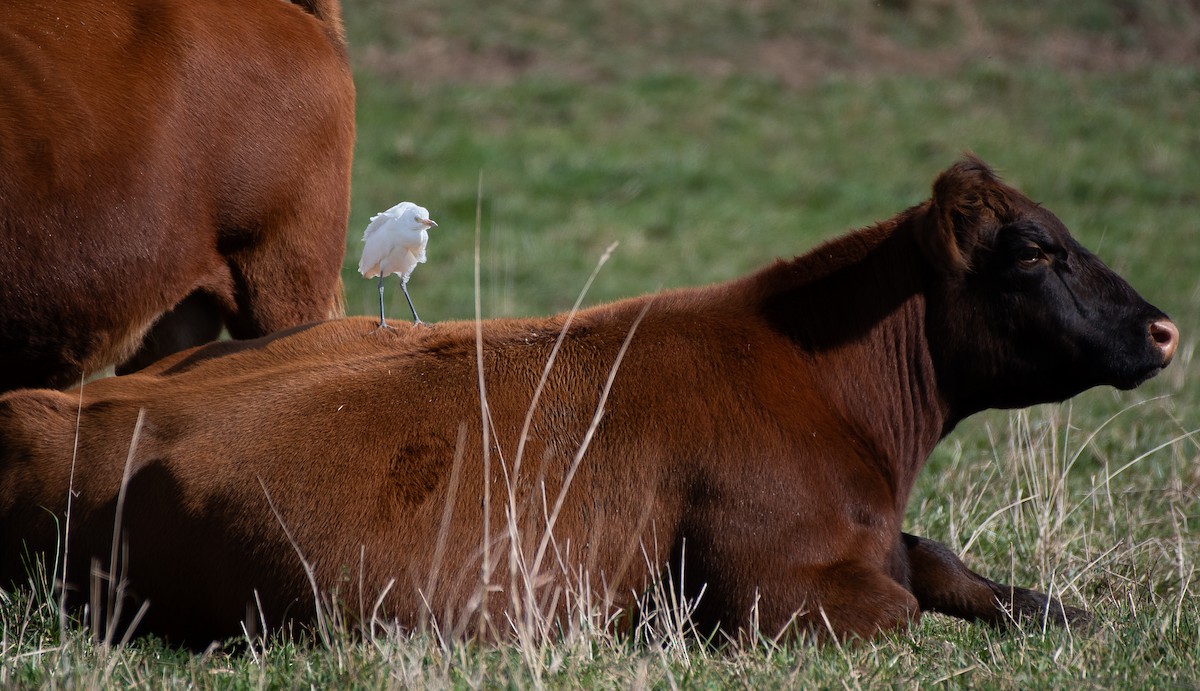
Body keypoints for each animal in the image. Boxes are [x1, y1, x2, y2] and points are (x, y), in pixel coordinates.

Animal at [0, 157, 1179, 646]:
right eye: (1033, 249)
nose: (1168, 327)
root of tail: (44, 402)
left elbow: (939, 565)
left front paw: (1066, 610)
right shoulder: (773, 591)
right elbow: (899, 601)